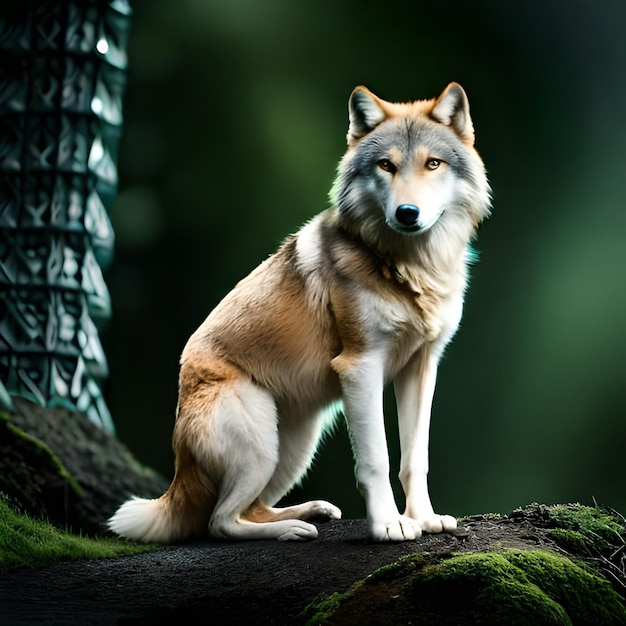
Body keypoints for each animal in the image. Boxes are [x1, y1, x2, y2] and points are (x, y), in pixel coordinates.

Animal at [108, 81, 492, 540]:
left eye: (432, 164)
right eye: (386, 165)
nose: (407, 213)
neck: (409, 267)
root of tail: (178, 466)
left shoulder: (421, 367)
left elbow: (415, 458)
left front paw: (425, 518)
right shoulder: (360, 367)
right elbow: (377, 460)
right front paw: (389, 525)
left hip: (296, 447)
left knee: (247, 508)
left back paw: (310, 512)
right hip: (261, 445)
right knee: (219, 523)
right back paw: (292, 529)